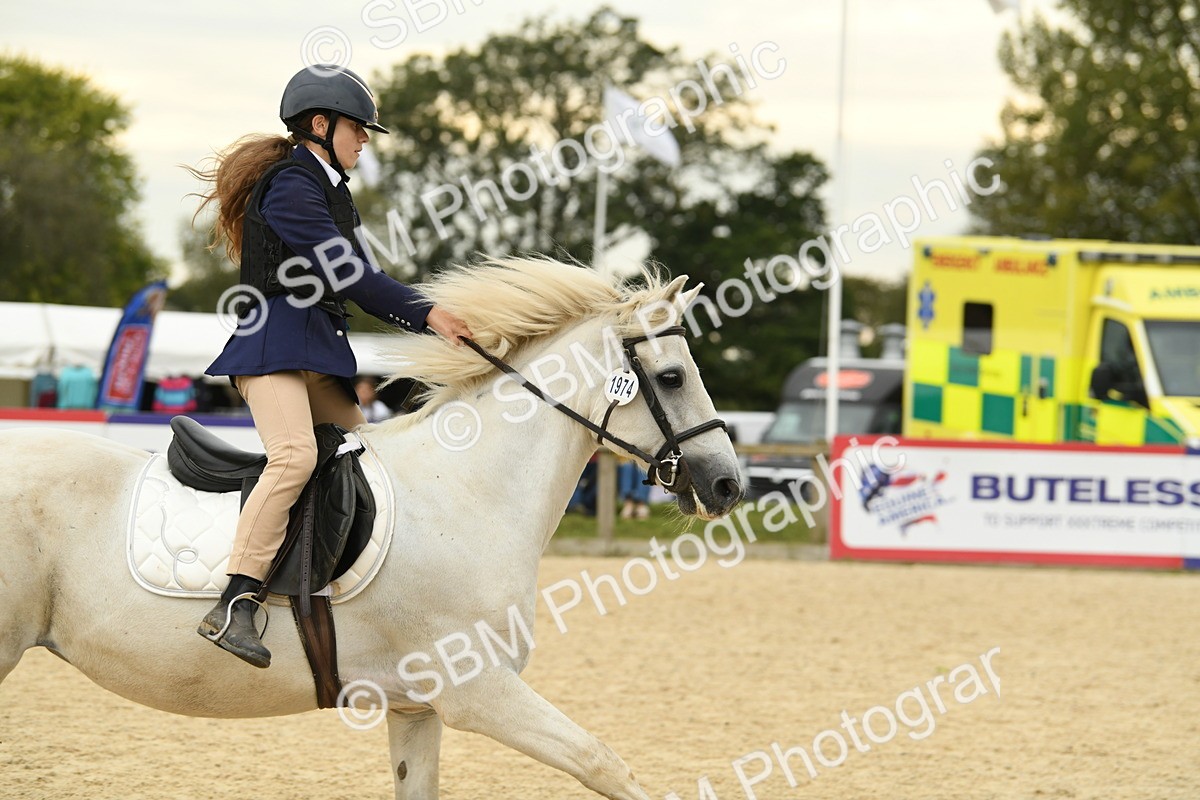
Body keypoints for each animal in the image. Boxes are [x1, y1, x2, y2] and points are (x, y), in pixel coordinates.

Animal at [0, 257, 744, 800]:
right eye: (672, 377)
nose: (727, 484)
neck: (464, 490)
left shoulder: (417, 707)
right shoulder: (480, 692)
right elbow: (604, 762)